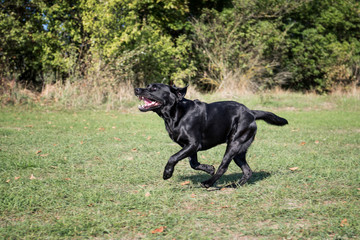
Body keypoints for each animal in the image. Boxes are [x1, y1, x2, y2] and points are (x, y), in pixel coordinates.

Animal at [134, 83, 288, 188]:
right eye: (147, 86)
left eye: (154, 88)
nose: (136, 89)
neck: (176, 114)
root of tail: (251, 112)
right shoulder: (189, 147)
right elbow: (193, 163)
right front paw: (208, 168)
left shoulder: (193, 144)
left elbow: (173, 157)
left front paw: (167, 173)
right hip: (239, 152)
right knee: (247, 171)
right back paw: (234, 185)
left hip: (234, 145)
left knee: (223, 167)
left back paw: (208, 183)